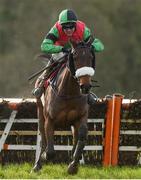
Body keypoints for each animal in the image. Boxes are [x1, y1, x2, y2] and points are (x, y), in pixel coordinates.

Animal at [32, 38, 95, 174]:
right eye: (75, 57)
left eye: (91, 57)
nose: (85, 86)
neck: (69, 92)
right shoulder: (50, 120)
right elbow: (50, 151)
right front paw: (44, 156)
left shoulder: (81, 116)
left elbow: (82, 135)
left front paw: (73, 165)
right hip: (40, 109)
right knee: (42, 136)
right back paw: (37, 165)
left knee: (76, 137)